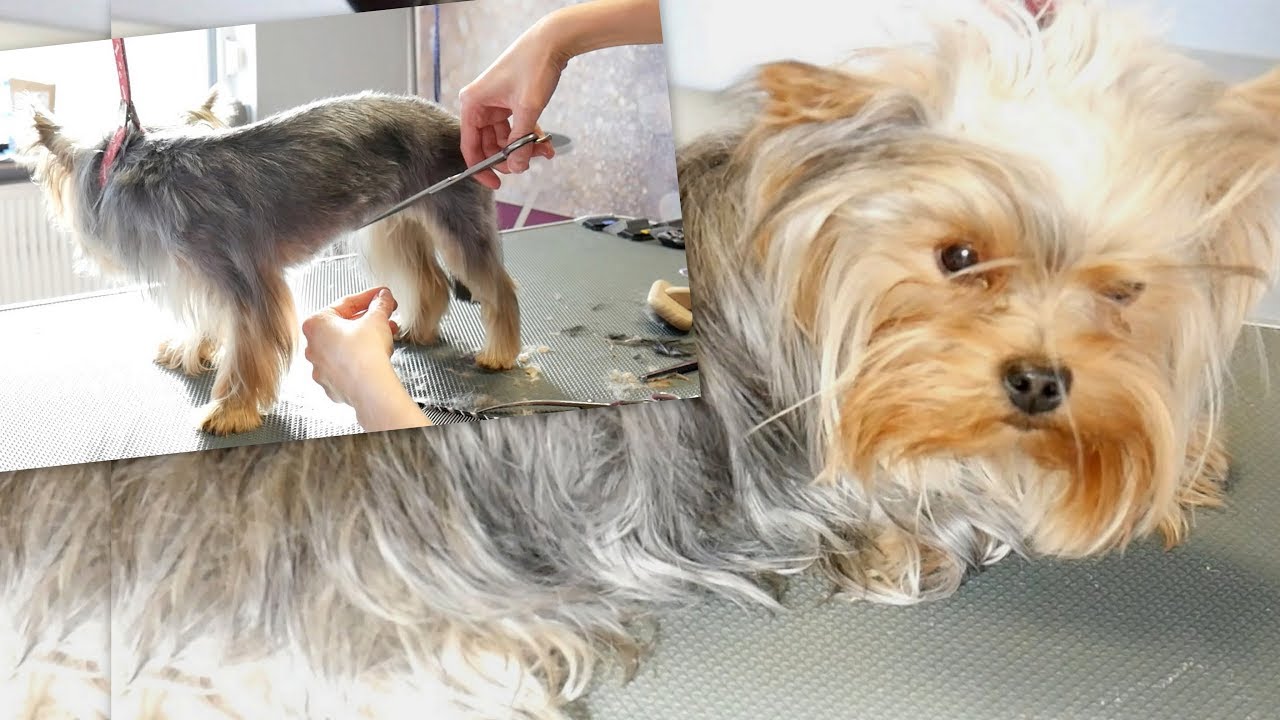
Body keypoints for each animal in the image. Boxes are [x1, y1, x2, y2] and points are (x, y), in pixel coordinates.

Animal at [18, 87, 519, 435]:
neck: (140, 165)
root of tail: (452, 122)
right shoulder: (201, 275)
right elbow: (208, 322)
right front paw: (189, 350)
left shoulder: (242, 277)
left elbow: (247, 348)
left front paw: (230, 410)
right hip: (394, 219)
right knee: (428, 278)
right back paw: (418, 327)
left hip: (454, 208)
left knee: (495, 284)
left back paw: (498, 352)